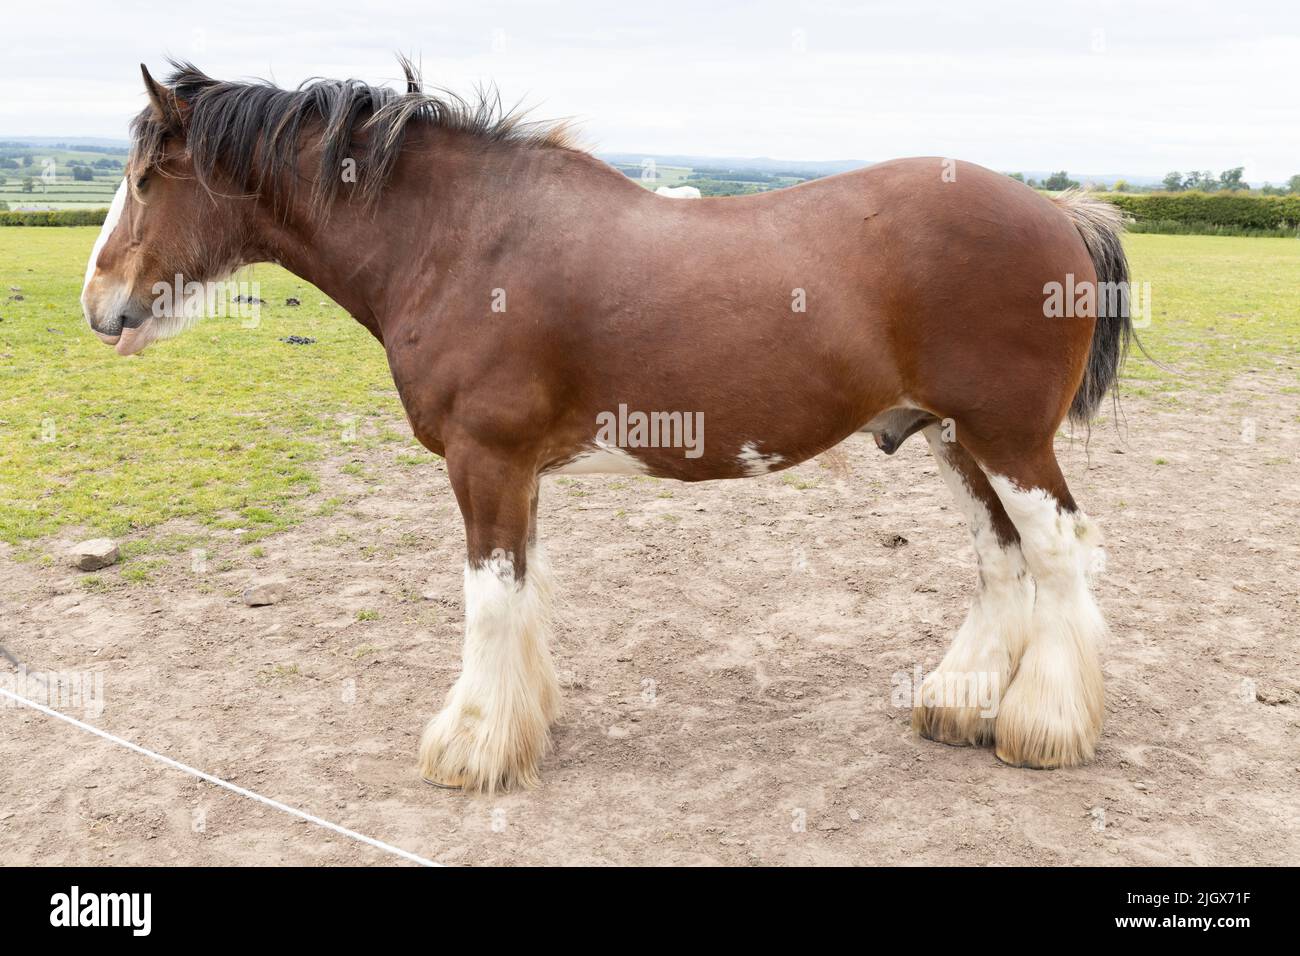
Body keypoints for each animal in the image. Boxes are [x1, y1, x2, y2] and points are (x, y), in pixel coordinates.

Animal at [81, 60, 1132, 793]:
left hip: (1008, 441)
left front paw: (472, 747)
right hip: (954, 440)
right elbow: (523, 593)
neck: (459, 239)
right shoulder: (519, 471)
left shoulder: (486, 461)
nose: (100, 305)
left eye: (147, 178)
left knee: (1059, 553)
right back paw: (962, 704)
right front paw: (518, 727)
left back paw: (1043, 728)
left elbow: (490, 599)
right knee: (1002, 557)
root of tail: (1060, 211)